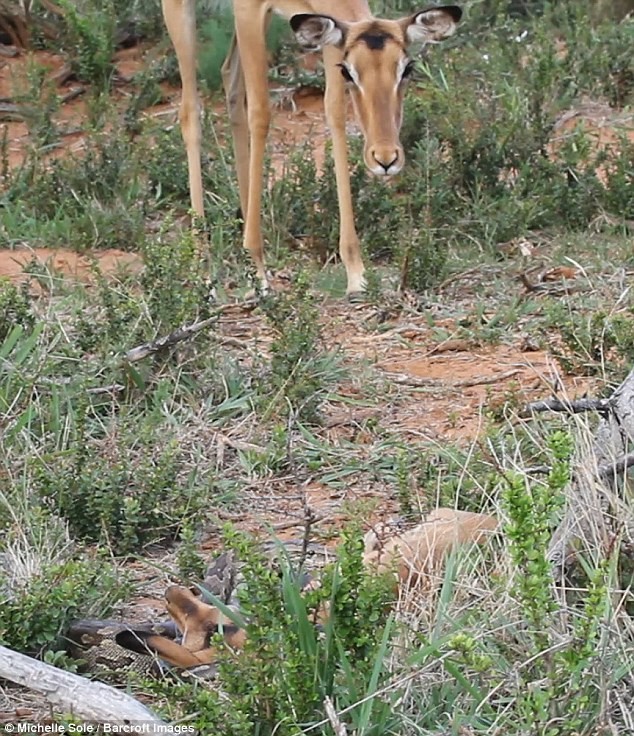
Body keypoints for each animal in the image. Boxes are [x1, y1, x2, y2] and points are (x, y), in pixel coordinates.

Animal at [160, 2, 462, 296]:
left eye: (407, 69)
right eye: (349, 72)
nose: (386, 159)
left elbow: (335, 113)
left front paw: (356, 274)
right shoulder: (250, 11)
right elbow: (260, 114)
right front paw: (259, 274)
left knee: (229, 81)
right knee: (191, 111)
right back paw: (205, 275)